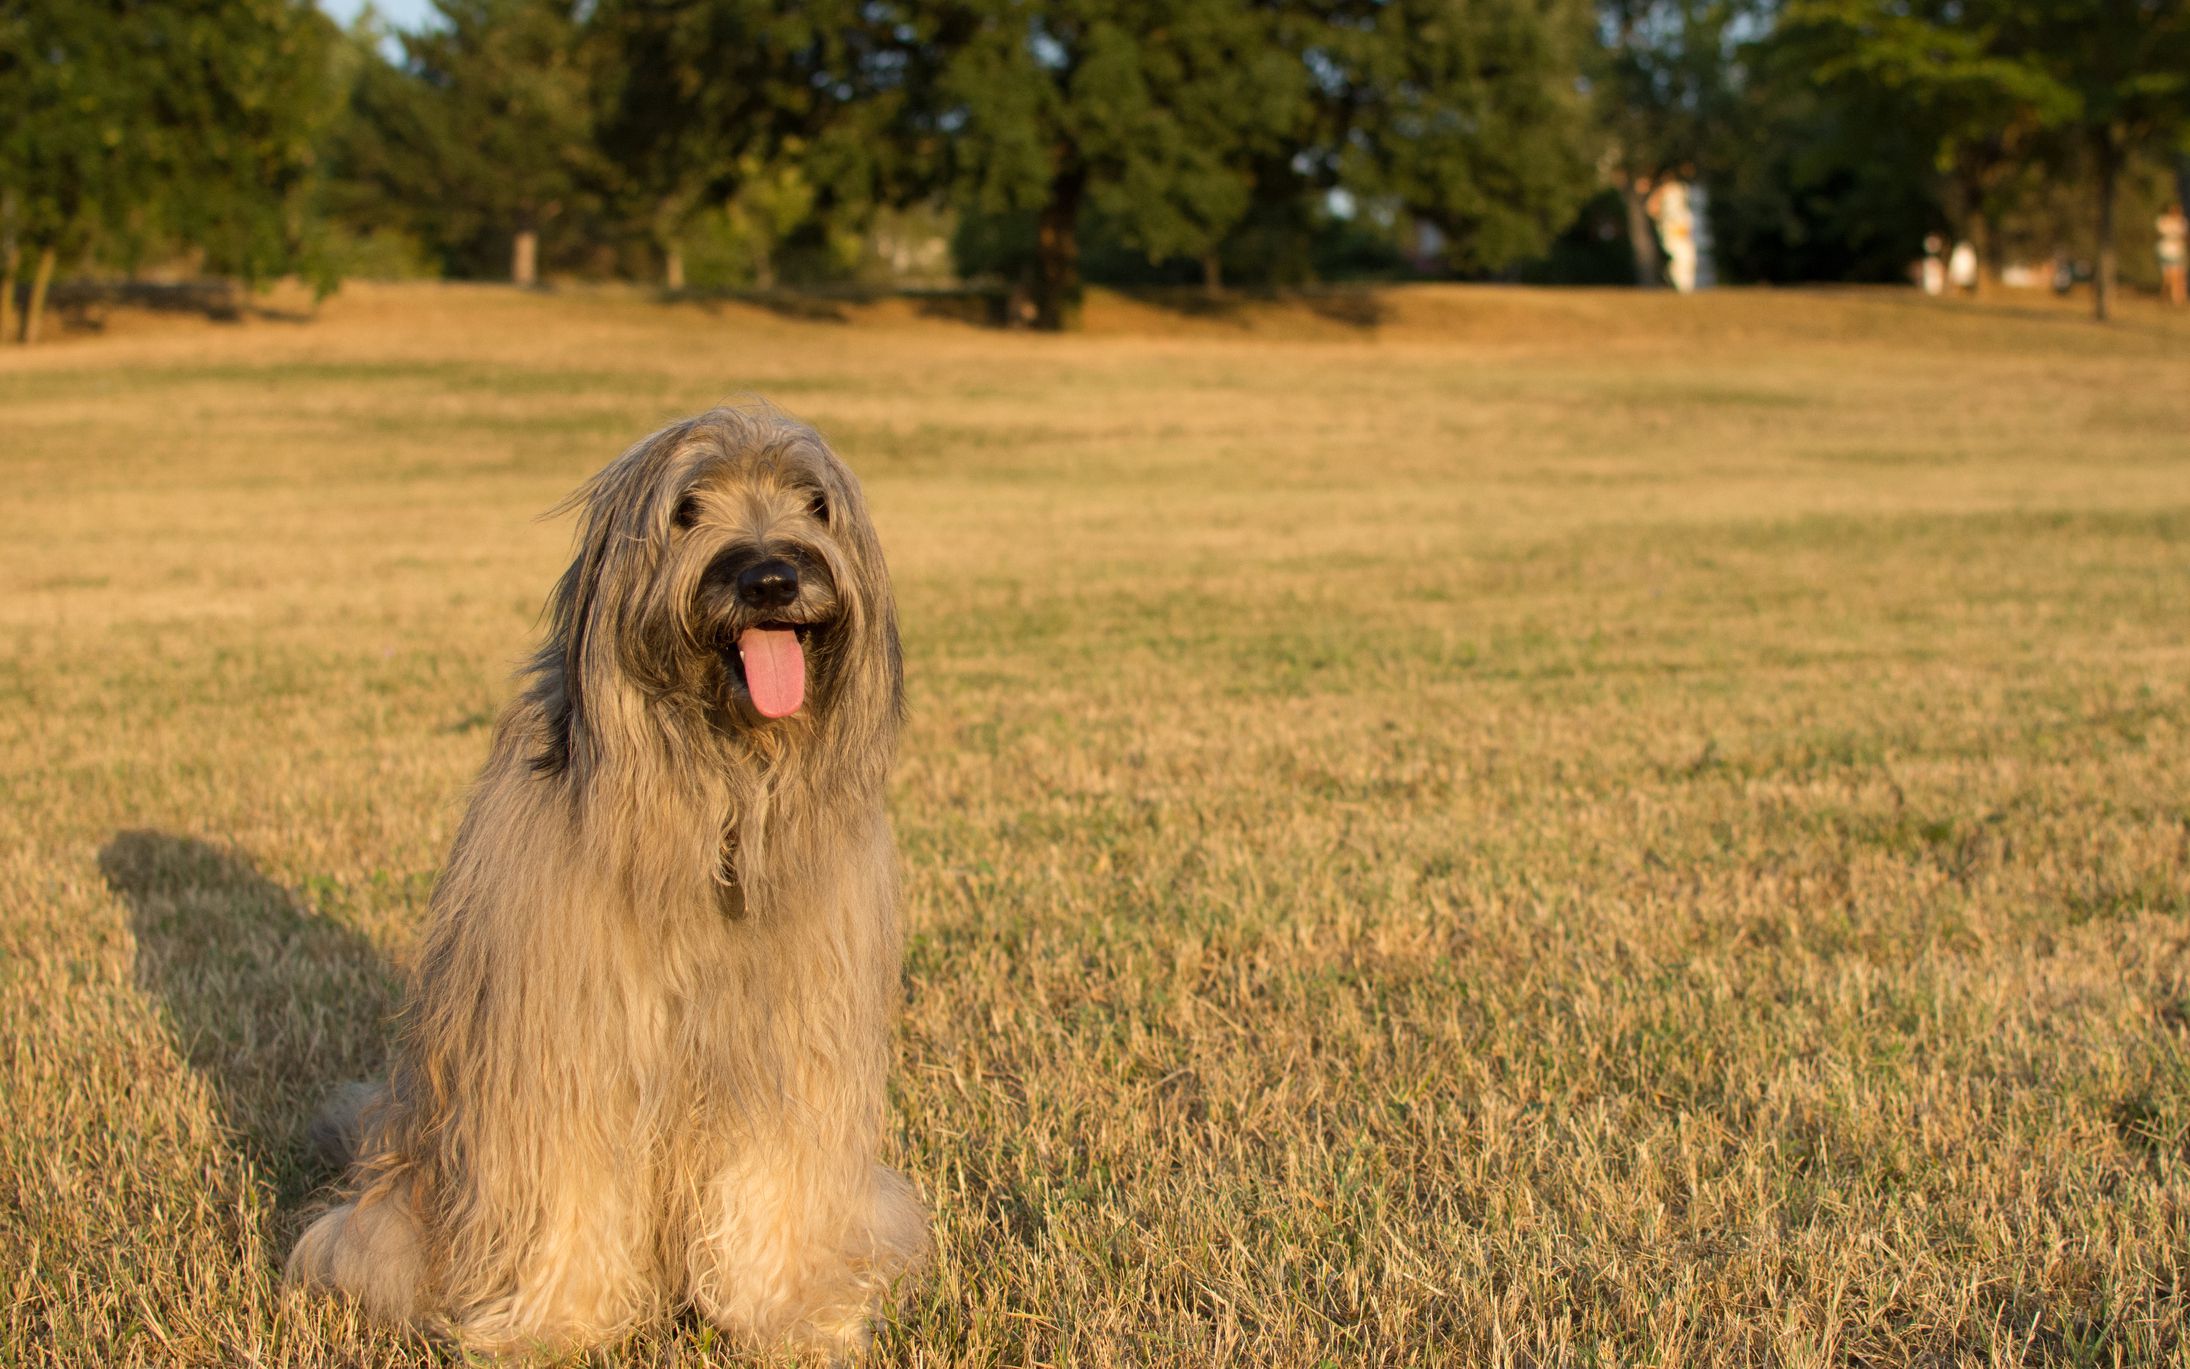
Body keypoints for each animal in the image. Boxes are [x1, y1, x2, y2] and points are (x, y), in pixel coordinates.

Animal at [286, 400, 928, 1349]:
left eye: (815, 504)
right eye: (687, 508)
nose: (772, 578)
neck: (716, 792)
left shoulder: (787, 1041)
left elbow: (774, 1174)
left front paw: (788, 1310)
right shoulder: (563, 1037)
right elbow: (568, 1179)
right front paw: (559, 1322)